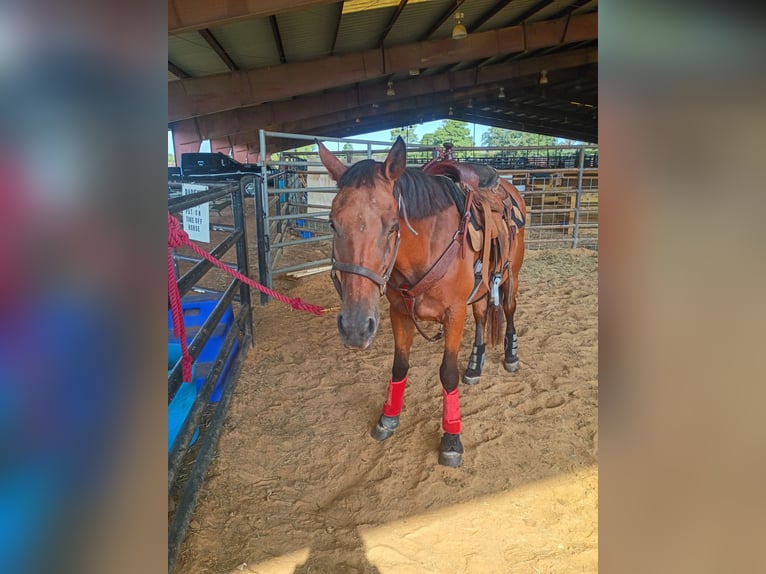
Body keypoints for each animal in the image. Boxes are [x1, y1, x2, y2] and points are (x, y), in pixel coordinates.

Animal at [318, 136, 526, 466]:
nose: (354, 328)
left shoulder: (454, 314)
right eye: (333, 224)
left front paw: (451, 438)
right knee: (481, 315)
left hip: (510, 277)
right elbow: (399, 366)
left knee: (508, 310)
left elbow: (448, 374)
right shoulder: (399, 312)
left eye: (393, 225)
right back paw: (475, 365)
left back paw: (510, 355)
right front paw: (388, 418)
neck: (427, 248)